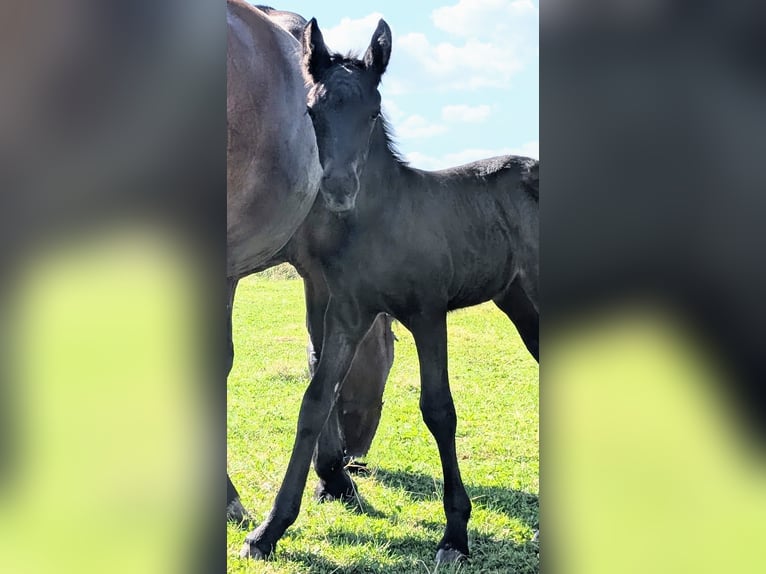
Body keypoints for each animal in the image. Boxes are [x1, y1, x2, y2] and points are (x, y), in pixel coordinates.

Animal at [240, 17, 539, 564]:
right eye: (312, 111)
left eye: (373, 112)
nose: (338, 189)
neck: (382, 222)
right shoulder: (347, 314)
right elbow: (315, 401)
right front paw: (269, 530)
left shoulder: (428, 313)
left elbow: (438, 409)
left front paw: (454, 536)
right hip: (519, 301)